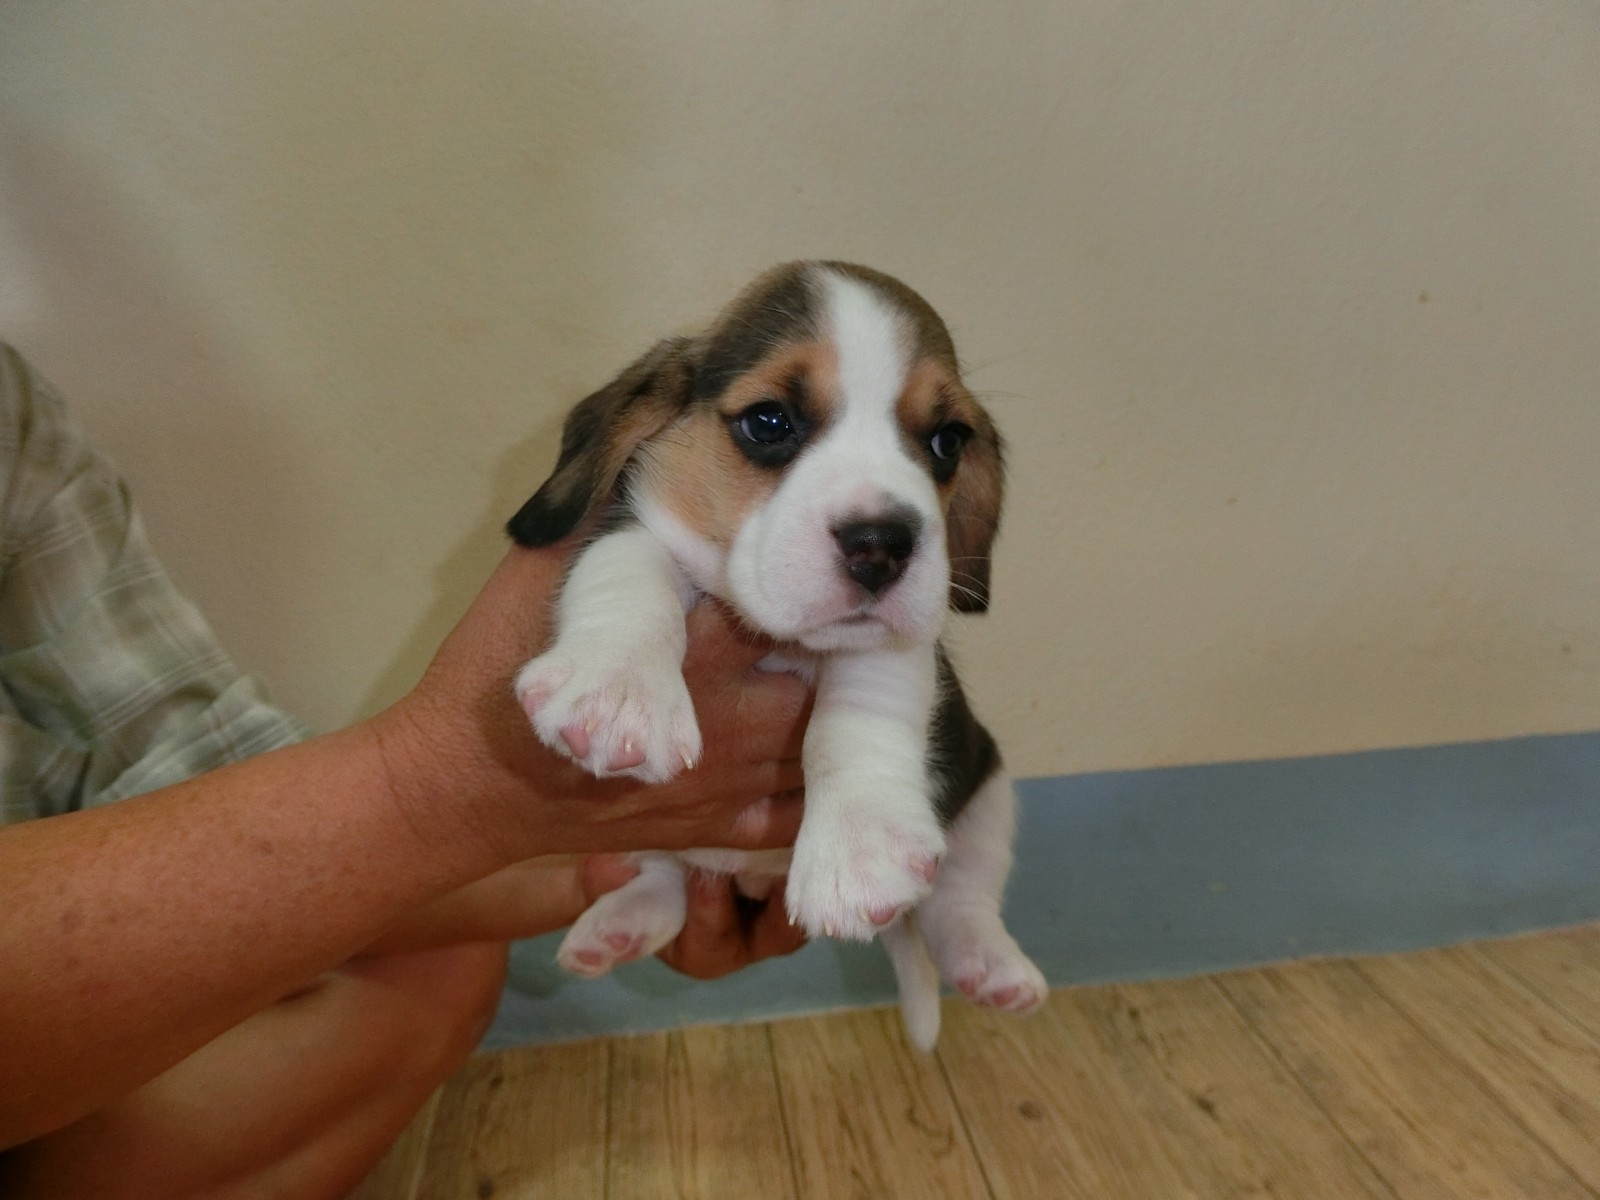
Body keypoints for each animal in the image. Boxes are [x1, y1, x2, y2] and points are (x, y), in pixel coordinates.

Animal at [507, 261, 1045, 1049]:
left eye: (947, 441)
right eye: (769, 422)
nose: (883, 545)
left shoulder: (893, 643)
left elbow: (857, 713)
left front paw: (858, 842)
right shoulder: (630, 526)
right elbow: (628, 569)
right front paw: (618, 688)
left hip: (988, 786)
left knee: (960, 901)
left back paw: (991, 964)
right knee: (663, 877)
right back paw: (622, 920)